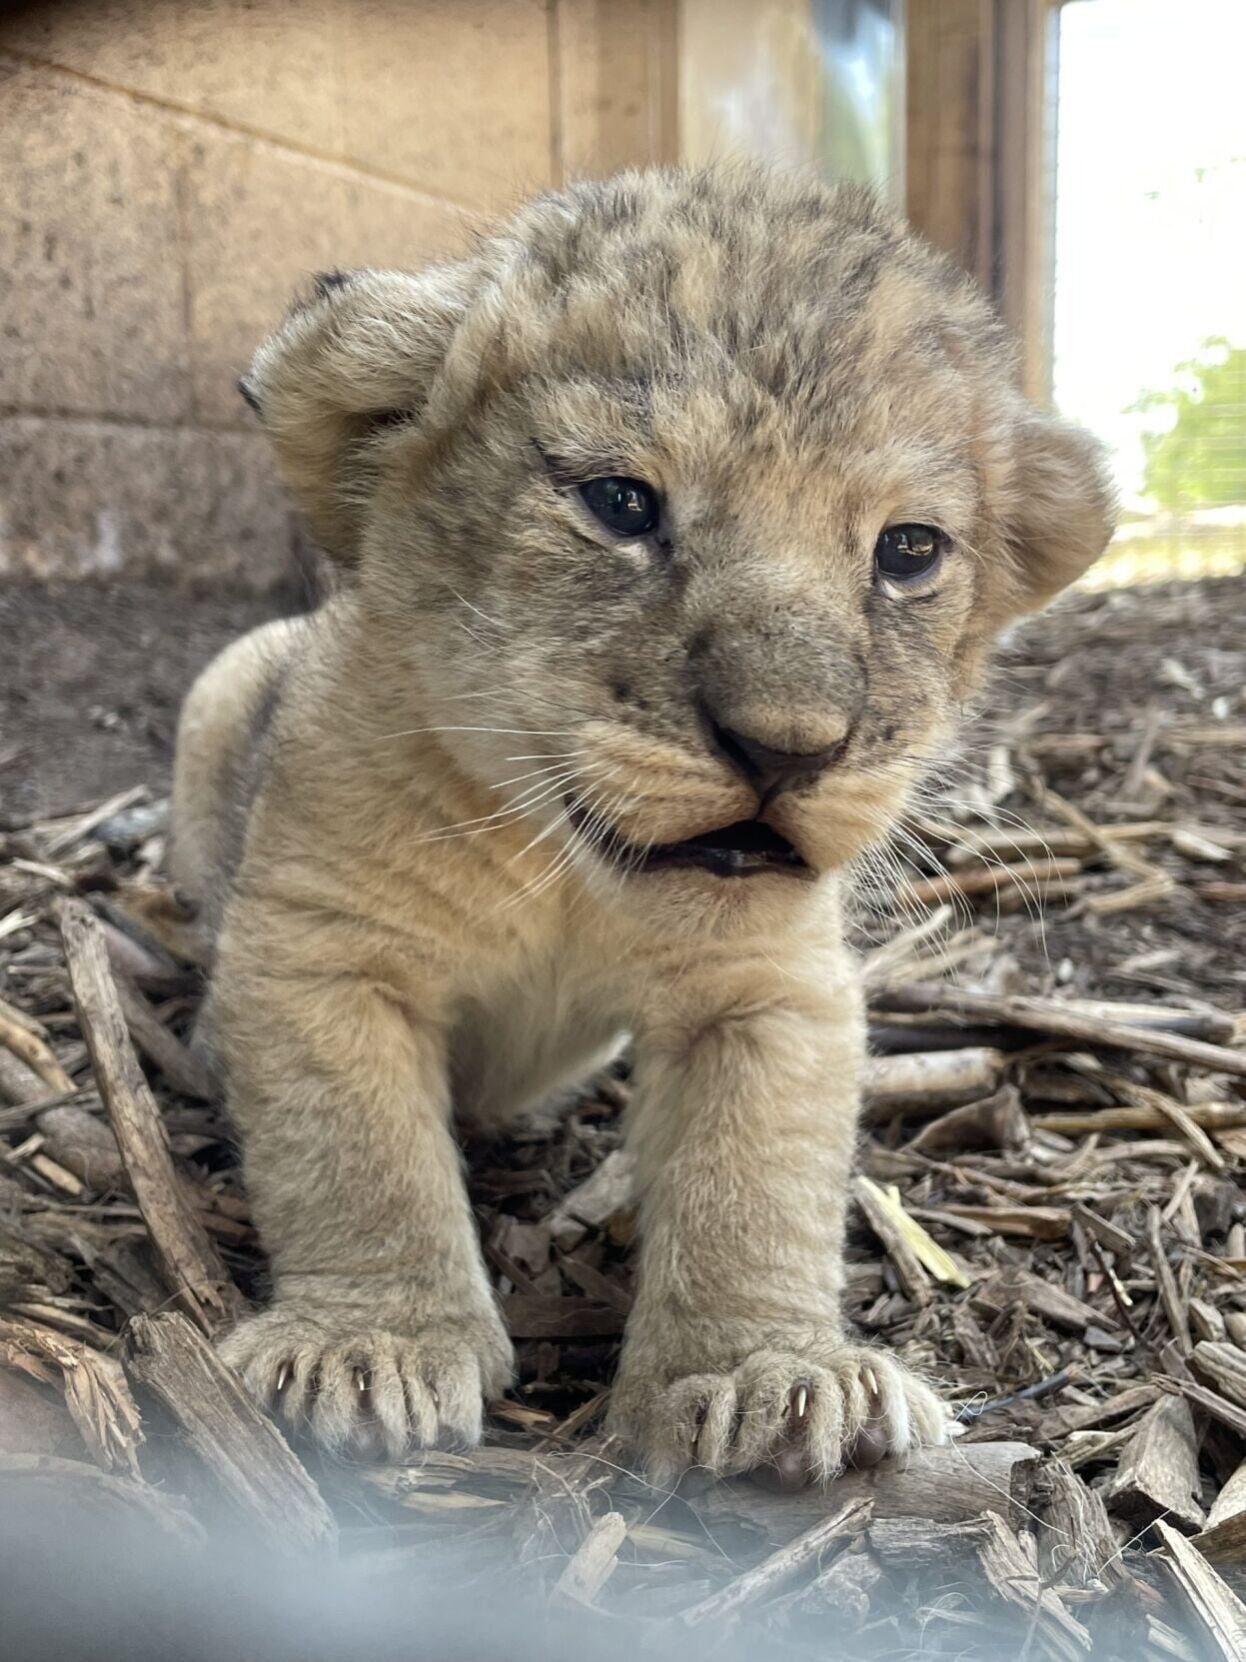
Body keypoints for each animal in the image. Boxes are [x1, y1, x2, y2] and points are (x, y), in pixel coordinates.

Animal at [171, 164, 1114, 1483]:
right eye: (620, 502)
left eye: (908, 551)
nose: (789, 746)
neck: (572, 876)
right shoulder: (321, 948)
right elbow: (355, 1157)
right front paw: (368, 1346)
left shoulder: (771, 988)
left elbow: (752, 1186)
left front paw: (769, 1376)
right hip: (219, 695)